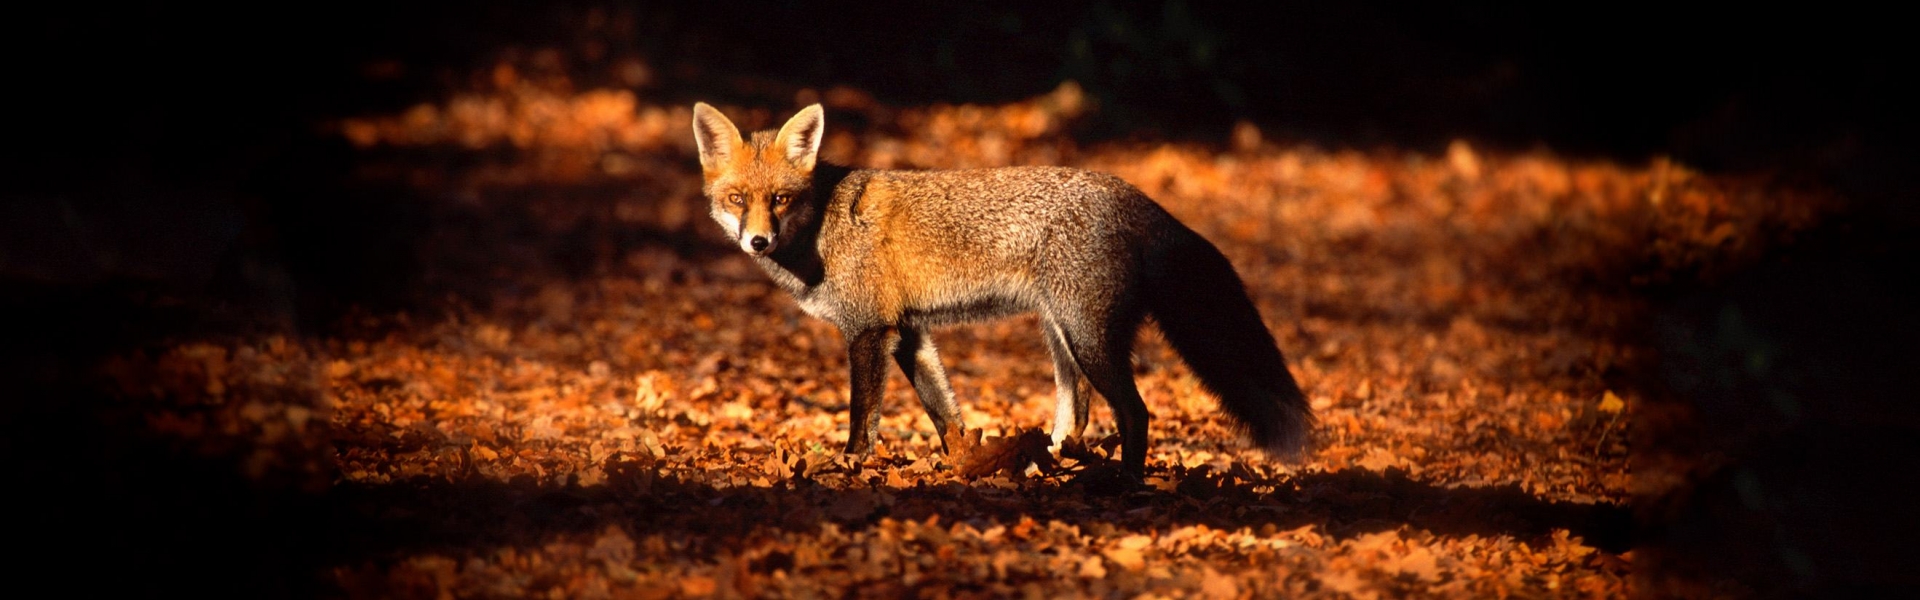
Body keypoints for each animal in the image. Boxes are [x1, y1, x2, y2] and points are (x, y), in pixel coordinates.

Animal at [692, 102, 1312, 473]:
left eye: (780, 199)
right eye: (737, 200)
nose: (758, 242)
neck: (824, 225)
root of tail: (1133, 193)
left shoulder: (869, 330)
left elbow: (861, 416)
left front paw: (851, 466)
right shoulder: (909, 331)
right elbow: (945, 413)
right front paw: (963, 464)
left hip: (1088, 339)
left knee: (1136, 413)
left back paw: (1122, 487)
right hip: (1061, 335)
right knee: (1077, 414)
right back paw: (1054, 466)